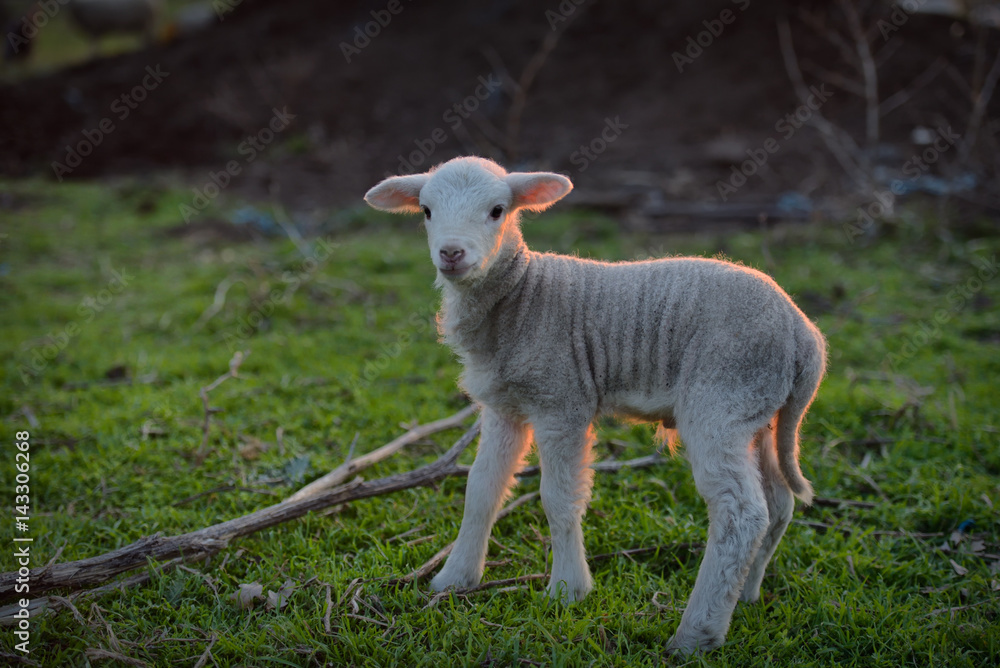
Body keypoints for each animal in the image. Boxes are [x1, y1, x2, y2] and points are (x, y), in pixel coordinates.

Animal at [364, 156, 826, 654]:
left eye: (497, 211)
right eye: (426, 211)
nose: (451, 253)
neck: (523, 296)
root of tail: (803, 334)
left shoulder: (562, 400)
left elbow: (558, 498)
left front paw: (568, 590)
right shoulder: (504, 407)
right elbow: (481, 489)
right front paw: (454, 579)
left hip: (721, 400)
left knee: (741, 513)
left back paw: (695, 634)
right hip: (759, 413)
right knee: (778, 504)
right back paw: (746, 595)